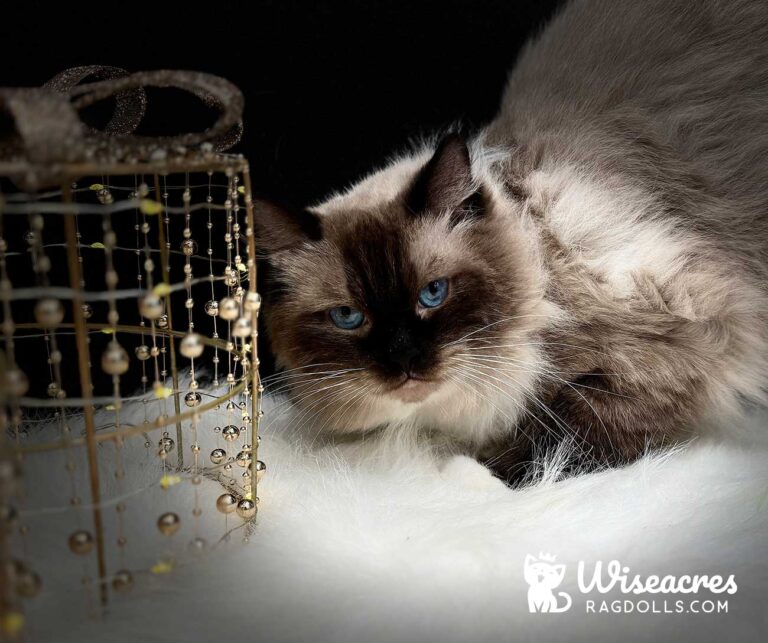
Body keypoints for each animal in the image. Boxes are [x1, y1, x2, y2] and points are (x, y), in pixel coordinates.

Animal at [256, 0, 768, 484]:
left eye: (433, 293)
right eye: (348, 317)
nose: (405, 363)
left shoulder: (678, 345)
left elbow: (565, 434)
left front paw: (471, 476)